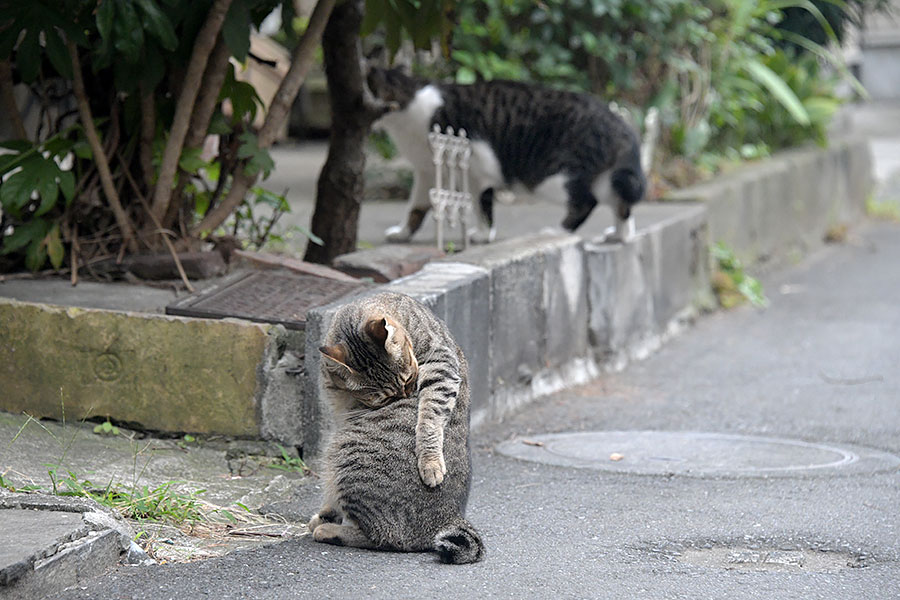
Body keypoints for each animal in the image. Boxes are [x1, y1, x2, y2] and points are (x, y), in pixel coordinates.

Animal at [310, 292, 486, 564]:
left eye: (408, 379)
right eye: (382, 398)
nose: (406, 394)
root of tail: (450, 518)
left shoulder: (440, 361)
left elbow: (430, 416)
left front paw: (430, 461)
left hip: (345, 456)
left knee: (386, 538)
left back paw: (329, 530)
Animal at [368, 69, 648, 246]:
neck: (410, 104)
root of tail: (621, 125)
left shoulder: (478, 166)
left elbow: (481, 206)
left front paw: (483, 235)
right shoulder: (426, 172)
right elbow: (415, 207)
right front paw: (403, 233)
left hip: (552, 177)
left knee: (586, 202)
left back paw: (554, 233)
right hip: (602, 178)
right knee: (621, 204)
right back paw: (619, 236)